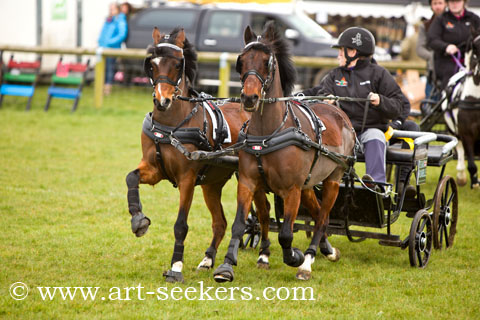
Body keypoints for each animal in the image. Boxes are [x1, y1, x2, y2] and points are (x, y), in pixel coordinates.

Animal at [124, 27, 266, 282]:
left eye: (176, 64)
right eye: (152, 64)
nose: (162, 101)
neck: (172, 125)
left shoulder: (187, 179)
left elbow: (181, 224)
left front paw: (175, 268)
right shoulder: (153, 168)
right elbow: (131, 177)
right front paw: (138, 220)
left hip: (253, 179)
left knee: (265, 214)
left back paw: (263, 256)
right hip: (212, 184)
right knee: (220, 223)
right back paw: (207, 260)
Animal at [214, 22, 356, 282]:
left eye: (267, 62)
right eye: (241, 61)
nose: (249, 97)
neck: (268, 134)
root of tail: (338, 111)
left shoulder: (291, 190)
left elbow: (286, 234)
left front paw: (295, 257)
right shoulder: (249, 182)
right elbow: (240, 223)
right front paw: (227, 266)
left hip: (333, 180)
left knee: (322, 218)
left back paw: (308, 261)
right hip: (308, 185)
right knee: (318, 213)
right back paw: (327, 250)